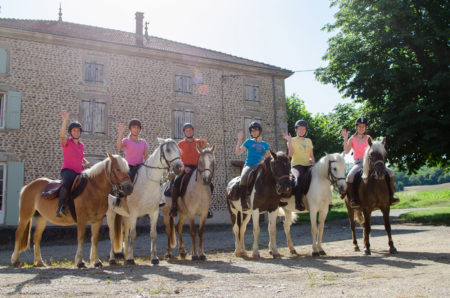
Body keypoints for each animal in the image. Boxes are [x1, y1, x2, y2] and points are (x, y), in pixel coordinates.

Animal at [106, 138, 184, 266]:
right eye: (168, 150)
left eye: (179, 150)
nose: (180, 167)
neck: (148, 181)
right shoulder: (134, 213)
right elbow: (133, 234)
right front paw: (131, 259)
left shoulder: (154, 212)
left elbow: (153, 234)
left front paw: (154, 258)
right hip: (111, 214)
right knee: (112, 235)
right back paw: (112, 259)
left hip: (125, 216)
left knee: (124, 233)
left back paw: (125, 256)